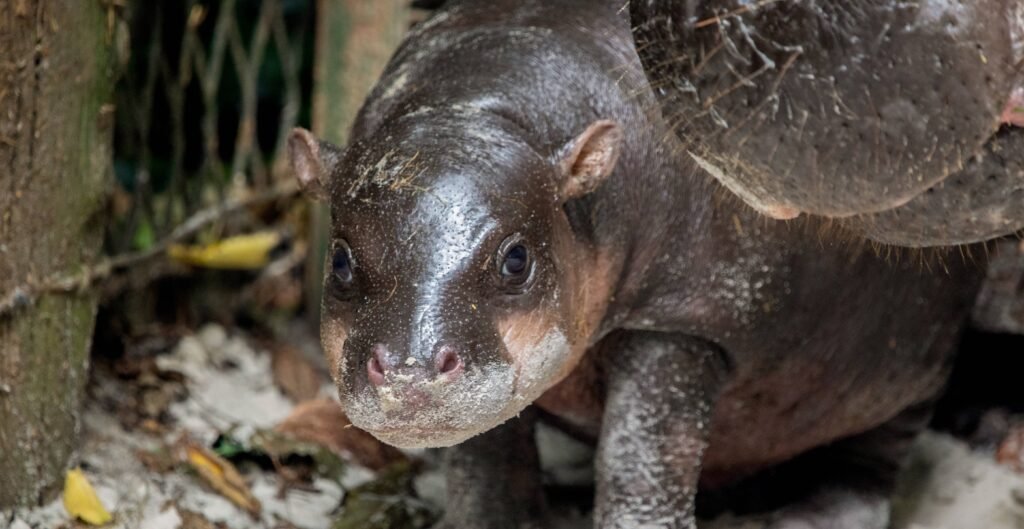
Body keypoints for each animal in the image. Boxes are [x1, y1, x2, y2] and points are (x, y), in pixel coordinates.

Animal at [287, 0, 984, 527]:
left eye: (516, 259)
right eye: (340, 259)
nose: (407, 373)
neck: (480, 113)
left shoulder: (683, 322)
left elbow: (638, 464)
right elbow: (487, 467)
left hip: (910, 373)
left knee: (870, 468)